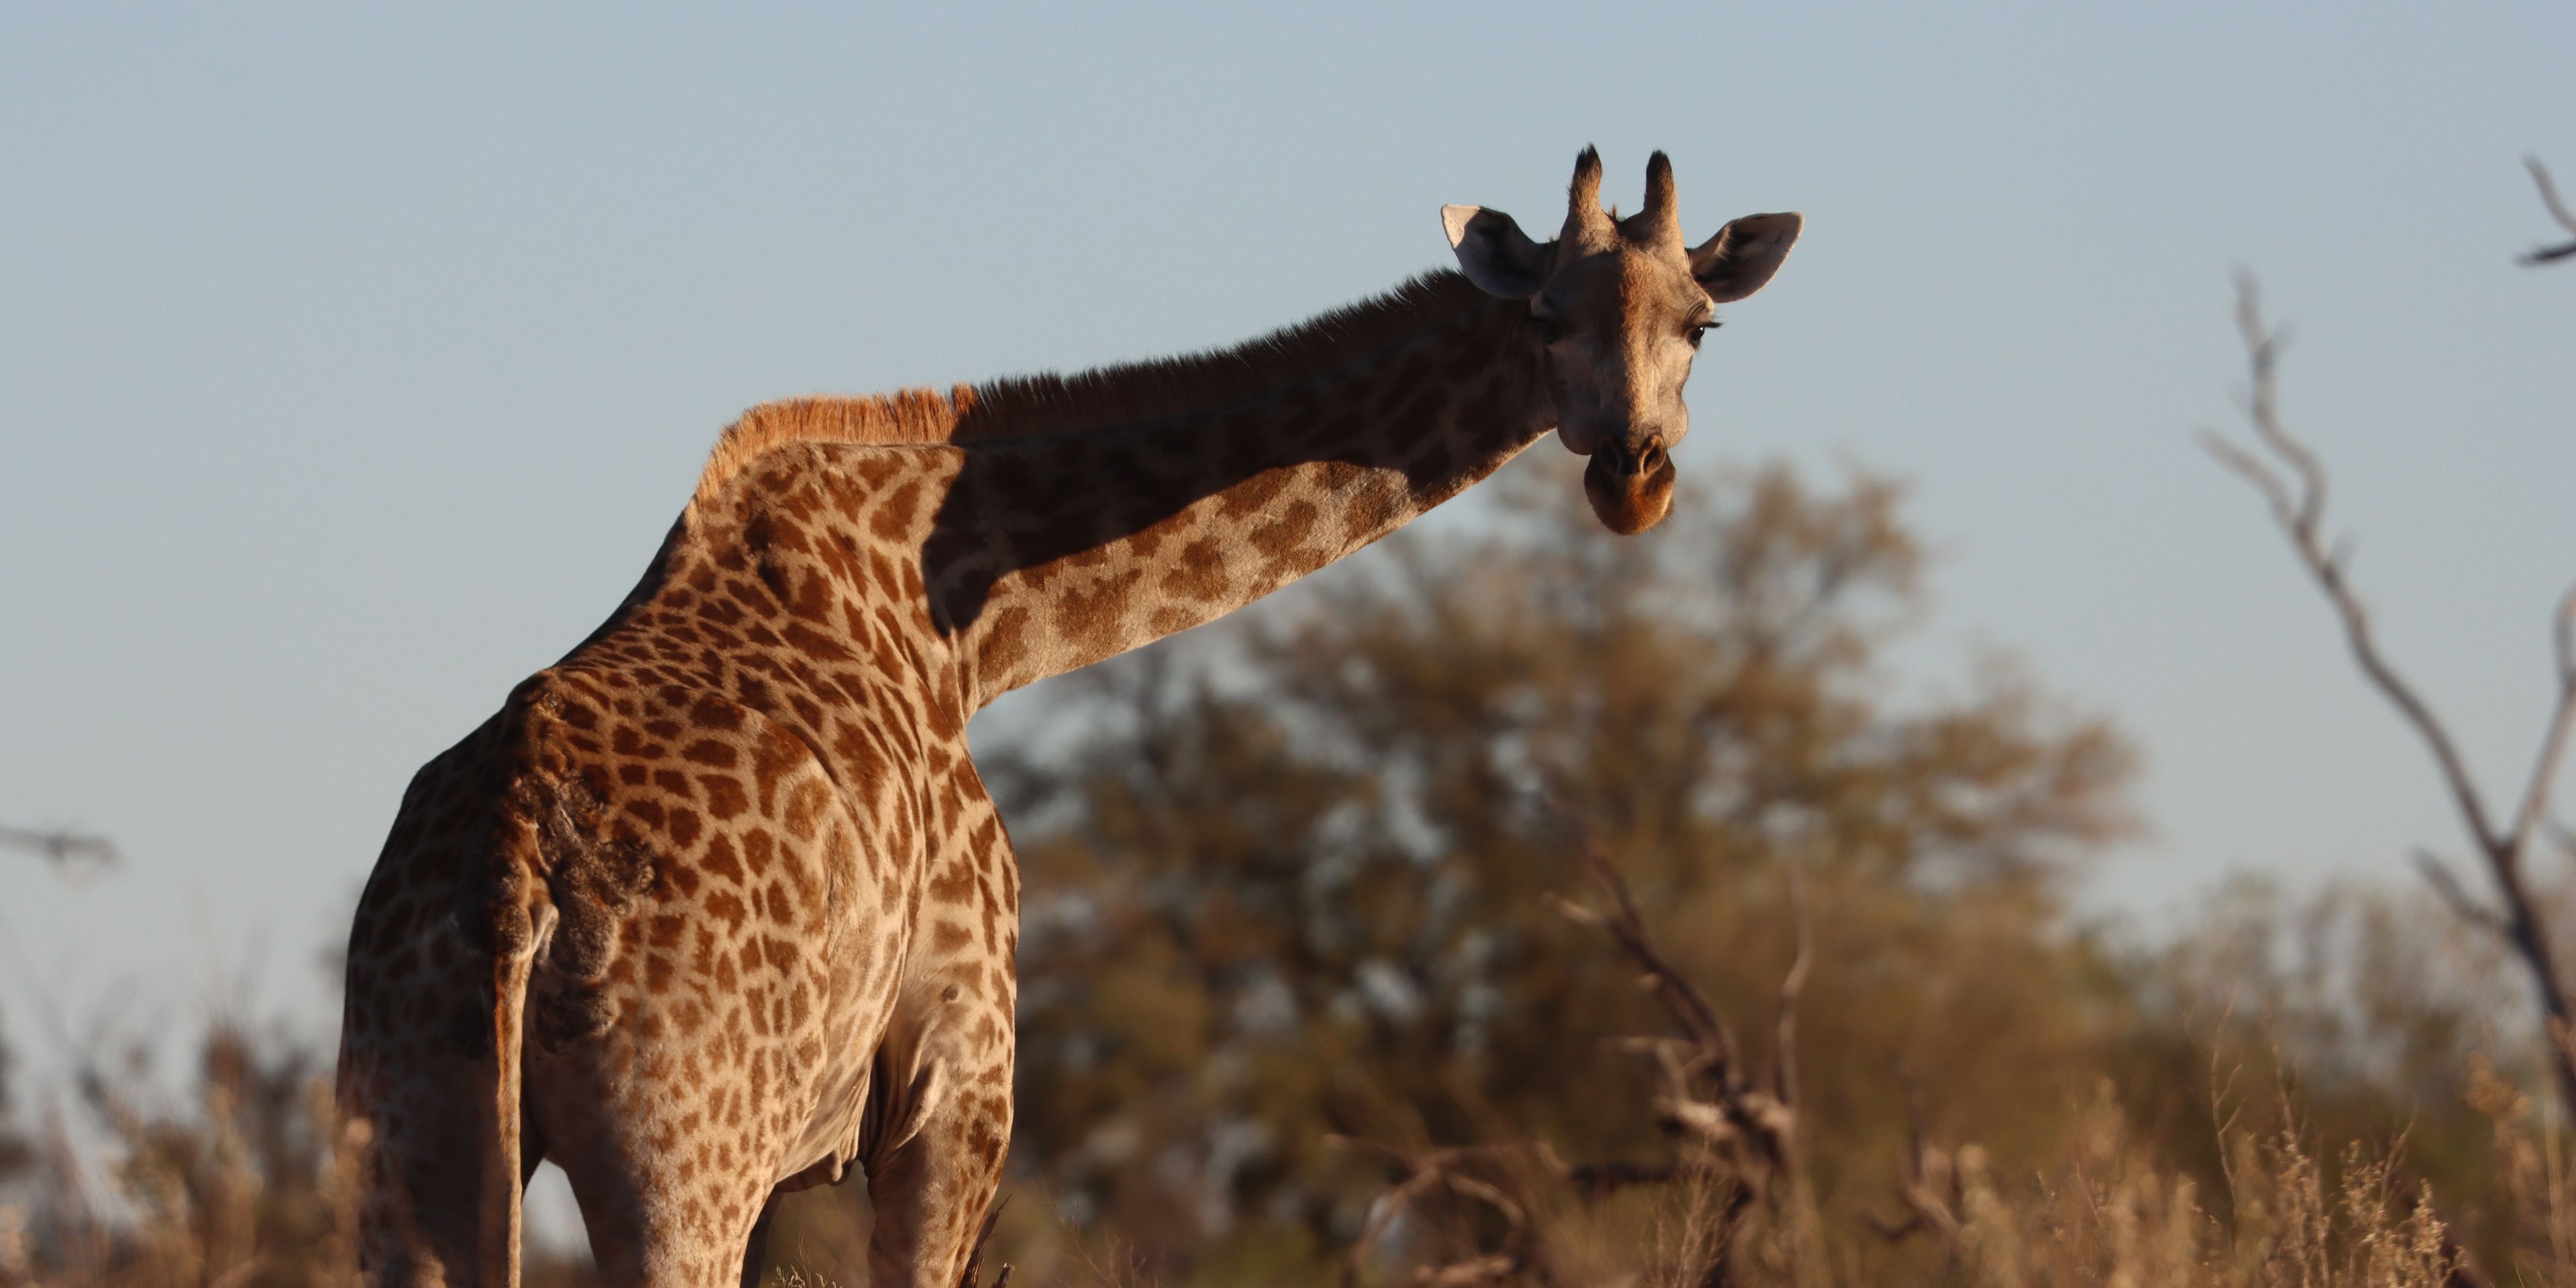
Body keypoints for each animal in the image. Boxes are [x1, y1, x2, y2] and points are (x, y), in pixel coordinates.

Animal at [336, 147, 1798, 1288]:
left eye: (1700, 327)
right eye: (1544, 319)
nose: (1634, 475)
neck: (968, 629)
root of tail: (513, 868)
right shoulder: (956, 1071)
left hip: (407, 1142)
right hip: (680, 1154)